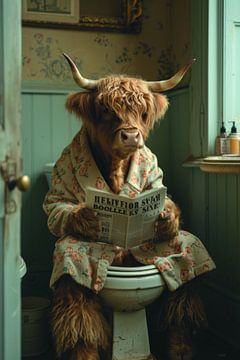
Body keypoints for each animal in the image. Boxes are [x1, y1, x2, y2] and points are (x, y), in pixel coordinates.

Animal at [43, 54, 216, 360]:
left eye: (143, 111)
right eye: (105, 109)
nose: (132, 137)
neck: (116, 166)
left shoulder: (154, 175)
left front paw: (166, 217)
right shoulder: (61, 183)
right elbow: (58, 206)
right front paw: (88, 217)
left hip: (180, 255)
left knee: (186, 277)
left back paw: (181, 348)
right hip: (77, 262)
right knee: (76, 302)